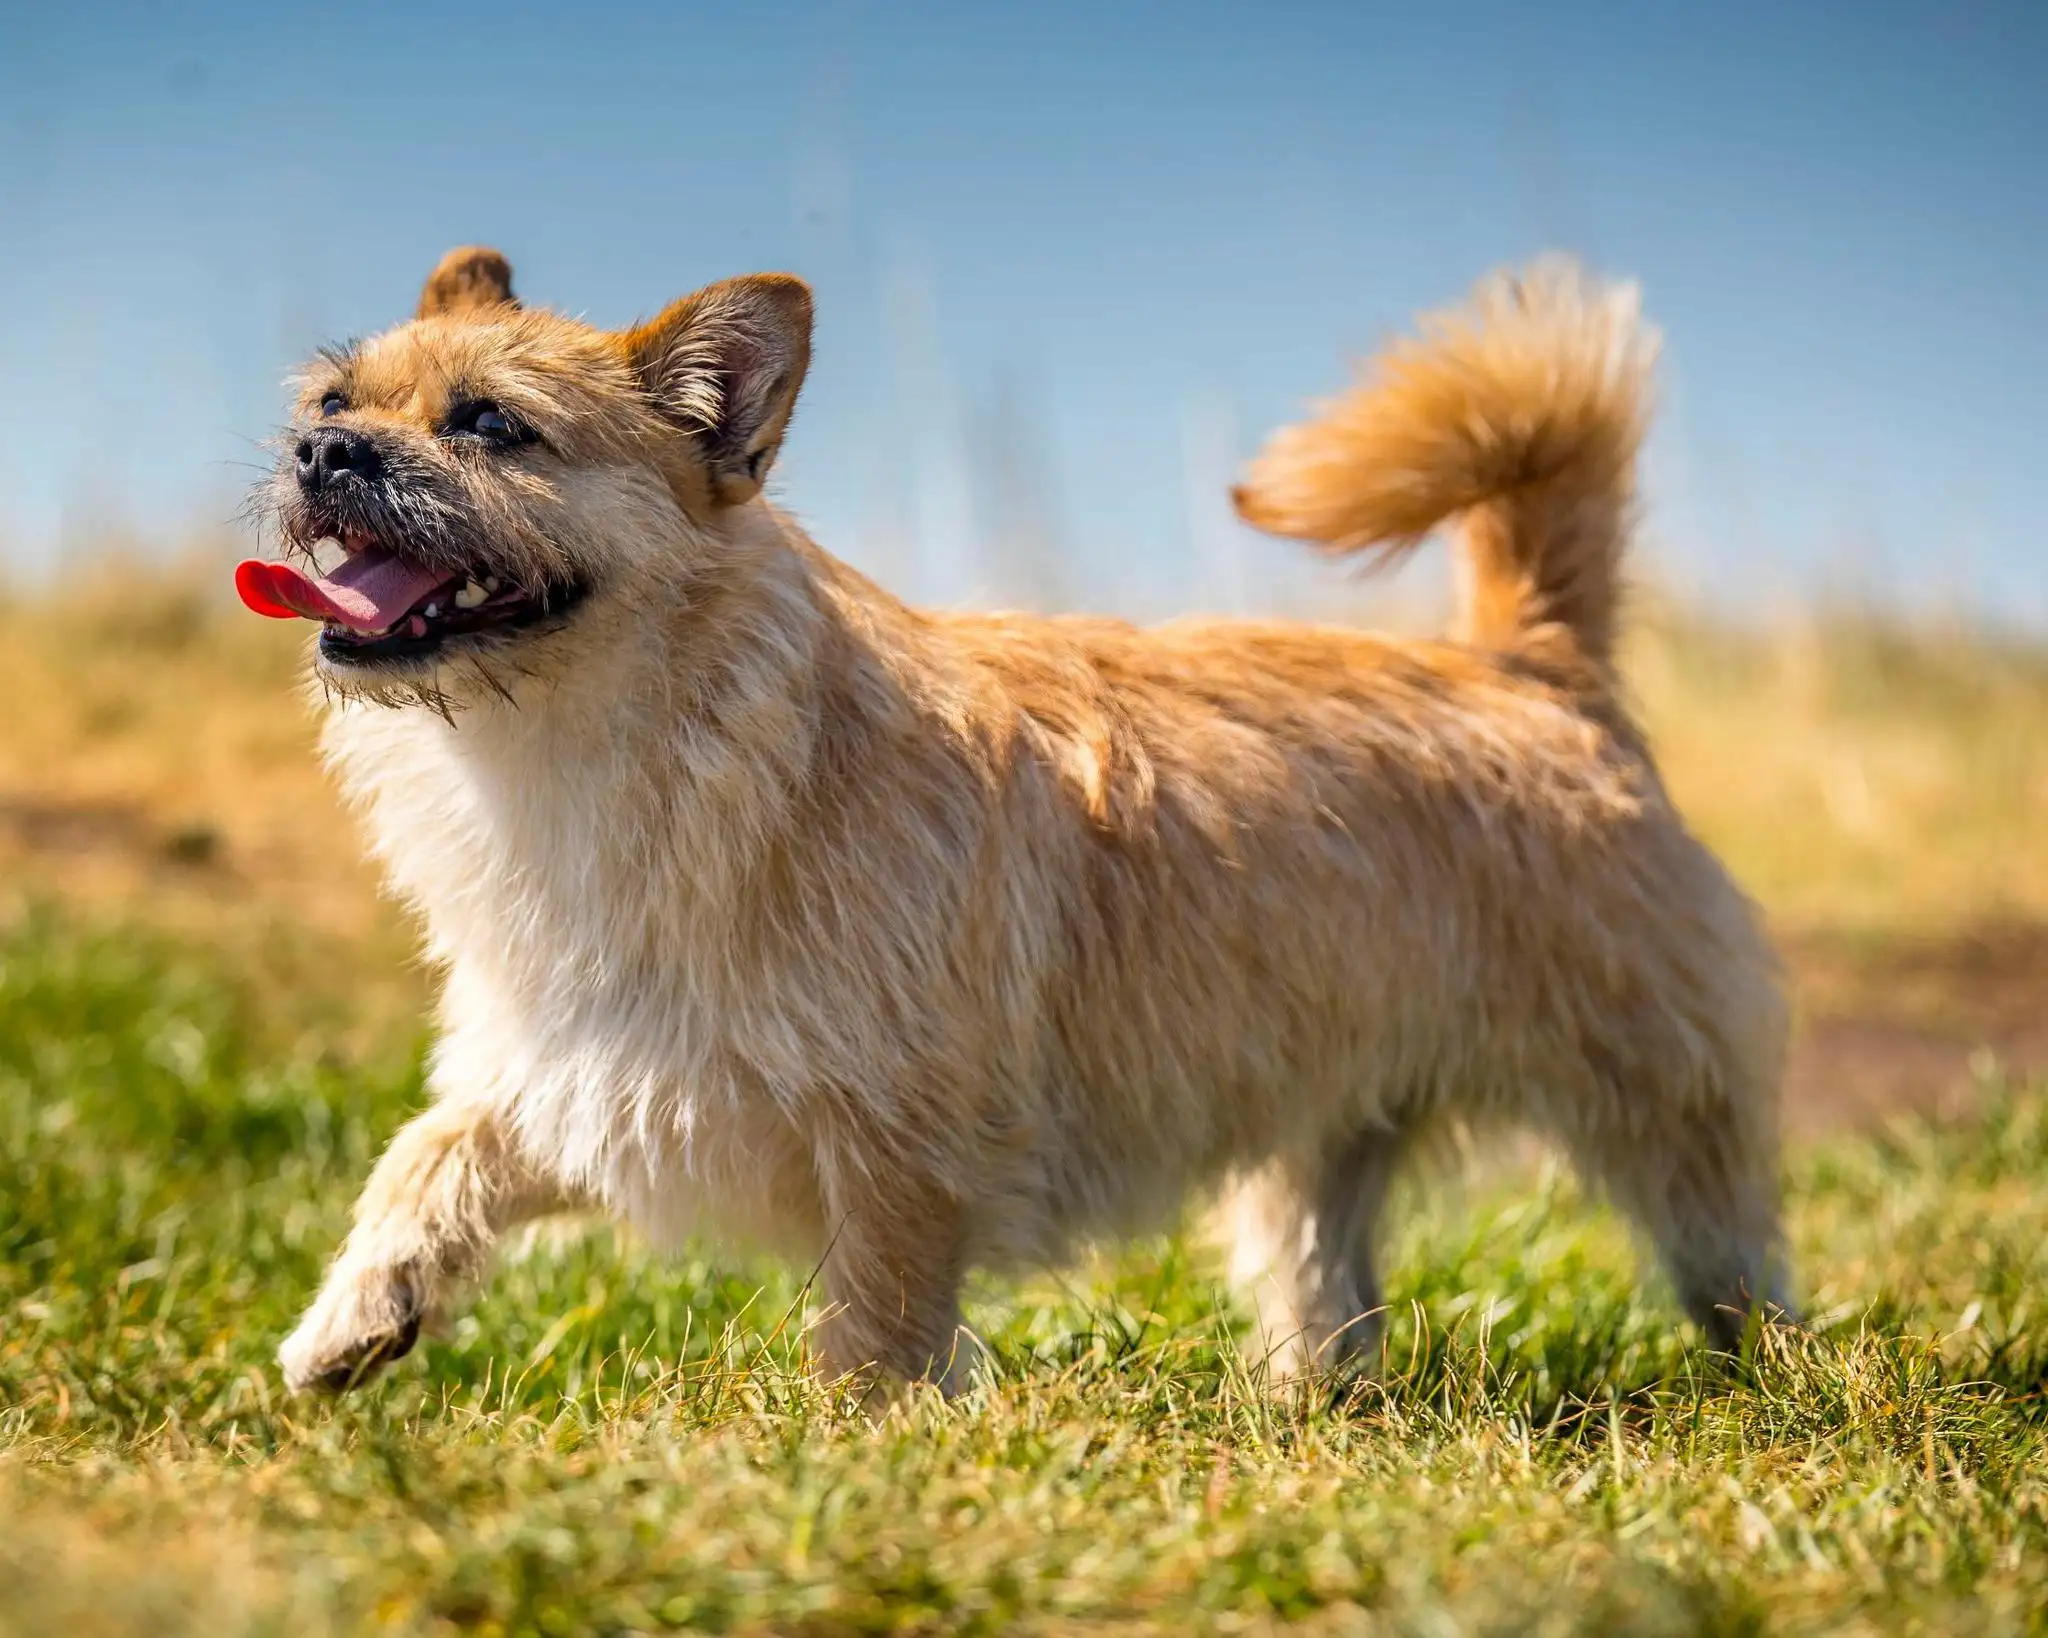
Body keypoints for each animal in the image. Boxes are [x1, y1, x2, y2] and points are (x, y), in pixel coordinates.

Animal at [247, 246, 1794, 1392]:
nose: (324, 450)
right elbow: (431, 1147)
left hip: (1661, 1098)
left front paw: (845, 1464)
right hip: (1319, 1133)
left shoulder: (897, 1150)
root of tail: (1530, 663)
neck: (596, 749)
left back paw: (1772, 1383)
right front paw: (354, 1311)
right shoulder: (587, 1068)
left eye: (488, 424)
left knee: (1731, 1242)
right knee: (1328, 1278)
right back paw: (1309, 1403)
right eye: (332, 393)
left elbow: (872, 1335)